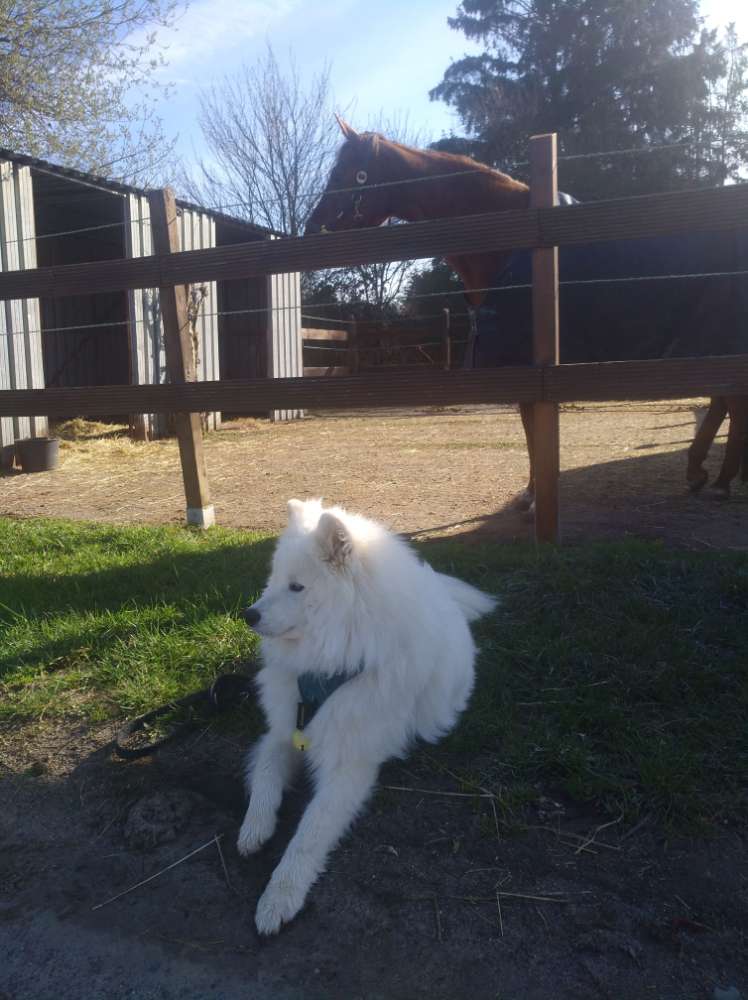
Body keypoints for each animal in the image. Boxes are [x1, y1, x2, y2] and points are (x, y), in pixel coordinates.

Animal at [240, 504, 496, 932]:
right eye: (273, 580)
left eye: (297, 587)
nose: (249, 615)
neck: (332, 663)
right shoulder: (285, 730)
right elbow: (265, 776)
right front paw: (255, 827)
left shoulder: (350, 765)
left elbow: (310, 832)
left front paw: (279, 897)